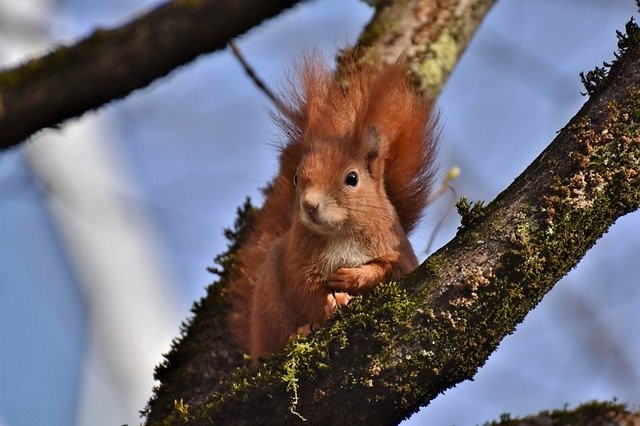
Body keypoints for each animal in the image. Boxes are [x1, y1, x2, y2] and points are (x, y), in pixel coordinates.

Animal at [228, 55, 438, 360]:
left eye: (352, 178)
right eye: (296, 178)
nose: (310, 205)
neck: (341, 234)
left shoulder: (397, 250)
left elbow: (390, 270)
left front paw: (353, 277)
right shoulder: (297, 261)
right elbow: (304, 291)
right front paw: (330, 306)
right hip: (269, 305)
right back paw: (298, 334)